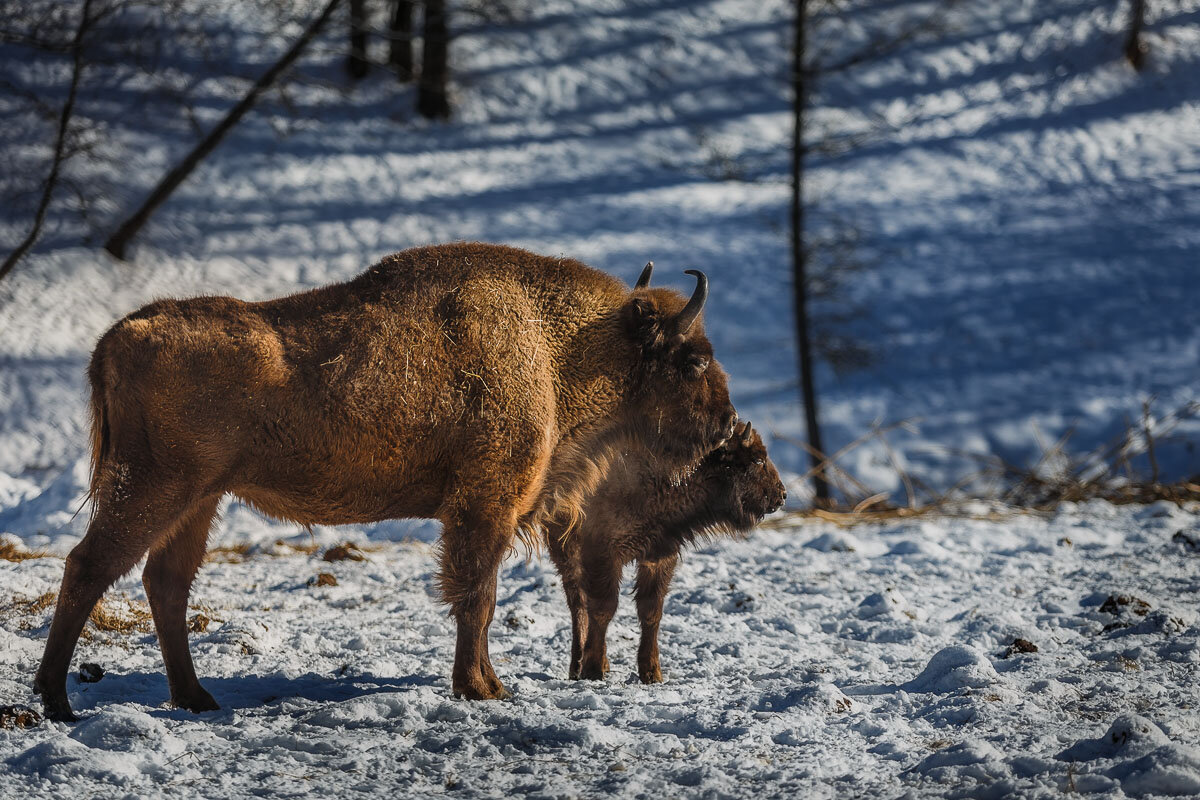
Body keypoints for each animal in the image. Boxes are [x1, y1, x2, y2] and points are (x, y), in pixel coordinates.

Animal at [32, 242, 734, 719]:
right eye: (693, 359)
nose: (726, 422)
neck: (555, 343)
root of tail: (120, 334)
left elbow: (477, 597)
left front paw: (483, 683)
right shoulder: (484, 506)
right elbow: (478, 595)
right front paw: (484, 688)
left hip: (198, 501)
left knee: (165, 582)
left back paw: (195, 696)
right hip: (153, 489)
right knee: (90, 566)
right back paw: (57, 702)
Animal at [547, 422, 787, 686]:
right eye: (757, 460)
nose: (782, 495)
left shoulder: (659, 557)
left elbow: (651, 612)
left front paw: (652, 674)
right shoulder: (603, 555)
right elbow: (603, 609)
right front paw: (592, 670)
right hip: (564, 549)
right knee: (577, 604)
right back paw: (578, 665)